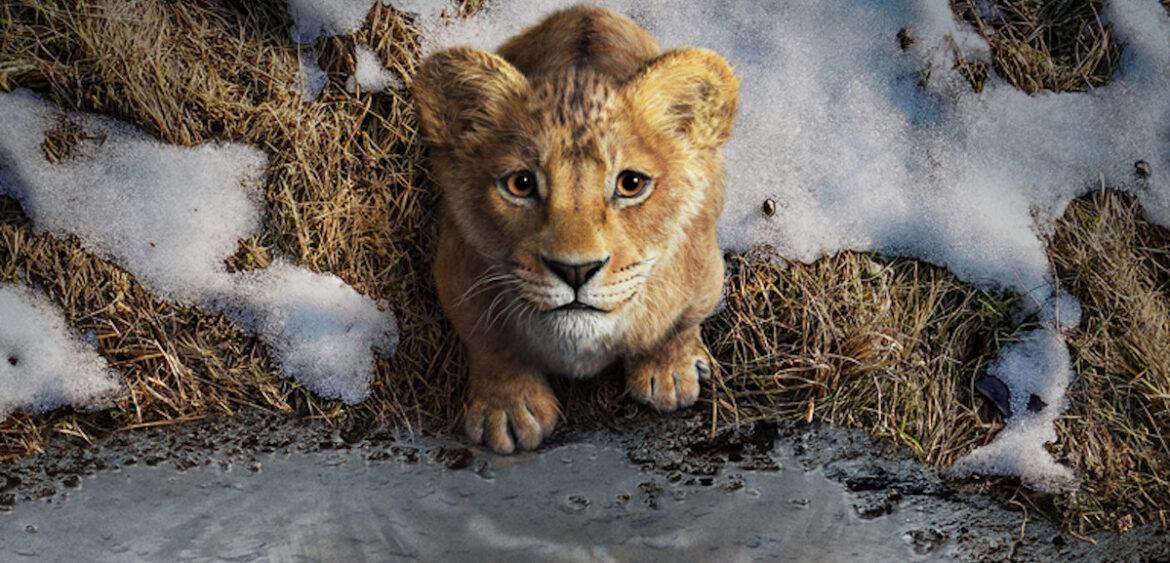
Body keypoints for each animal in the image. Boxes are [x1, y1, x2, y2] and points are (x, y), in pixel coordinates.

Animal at [414, 5, 739, 453]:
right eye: (521, 184)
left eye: (631, 184)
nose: (575, 270)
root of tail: (587, 9)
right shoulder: (457, 271)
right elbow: (490, 342)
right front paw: (508, 409)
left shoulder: (704, 270)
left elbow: (679, 323)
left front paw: (669, 372)